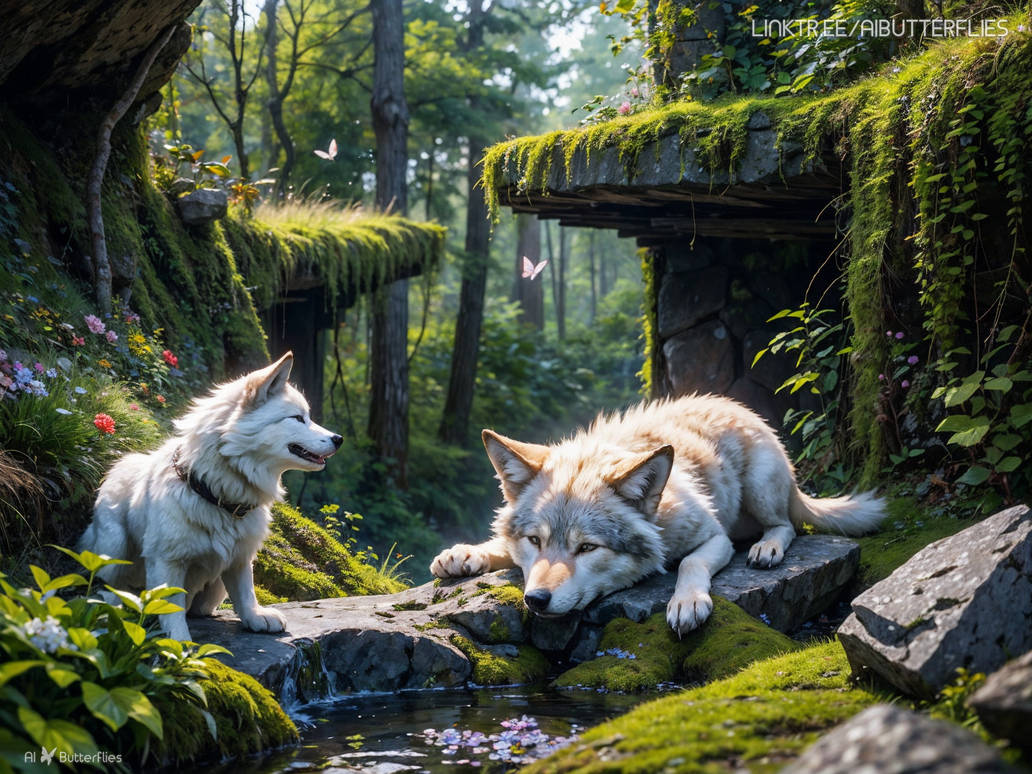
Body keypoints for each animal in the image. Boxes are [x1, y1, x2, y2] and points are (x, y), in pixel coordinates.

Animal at [78, 352, 341, 641]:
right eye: (297, 418)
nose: (338, 438)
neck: (217, 492)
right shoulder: (167, 559)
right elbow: (170, 605)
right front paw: (178, 641)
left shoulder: (241, 556)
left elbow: (245, 590)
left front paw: (255, 616)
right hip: (112, 547)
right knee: (105, 584)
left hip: (214, 588)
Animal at [430, 394, 884, 635]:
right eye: (535, 540)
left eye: (587, 548)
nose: (536, 600)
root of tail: (738, 405)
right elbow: (501, 546)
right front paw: (465, 553)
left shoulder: (714, 536)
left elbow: (688, 563)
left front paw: (686, 602)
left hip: (760, 490)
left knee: (787, 525)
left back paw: (766, 548)